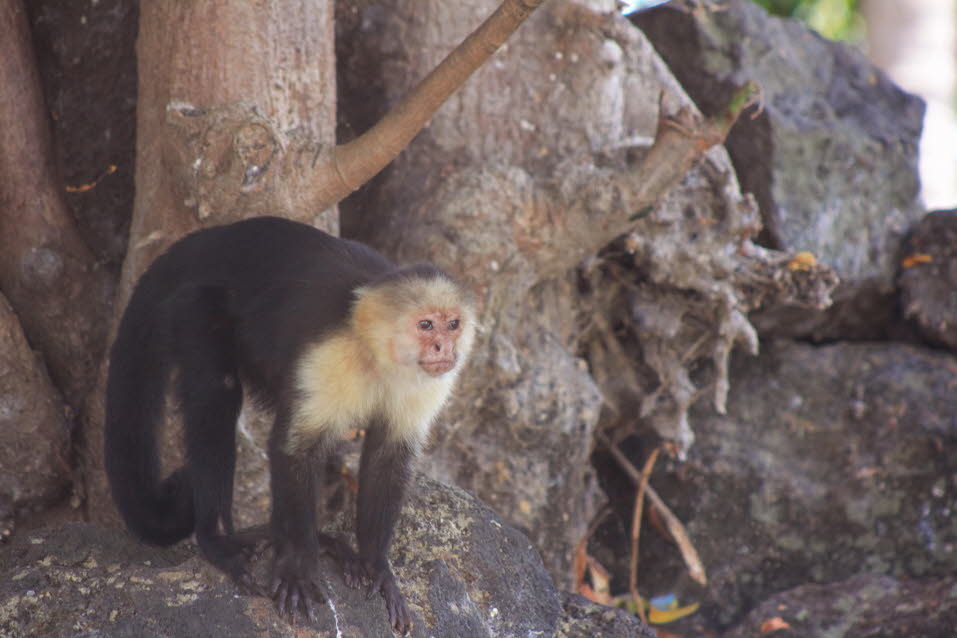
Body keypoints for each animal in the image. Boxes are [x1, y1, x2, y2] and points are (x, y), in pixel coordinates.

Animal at [103, 216, 474, 636]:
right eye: (425, 325)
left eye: (453, 324)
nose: (445, 349)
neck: (375, 354)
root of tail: (214, 238)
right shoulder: (330, 354)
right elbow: (296, 448)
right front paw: (297, 565)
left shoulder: (427, 383)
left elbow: (387, 458)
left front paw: (376, 565)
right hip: (194, 305)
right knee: (216, 394)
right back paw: (218, 539)